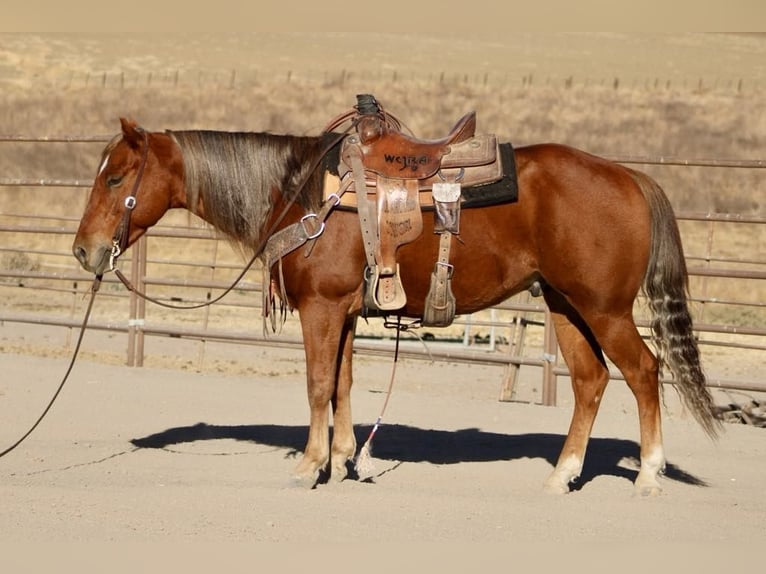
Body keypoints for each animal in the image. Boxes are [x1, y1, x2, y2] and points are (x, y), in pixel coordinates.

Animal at [72, 112, 720, 496]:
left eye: (114, 178)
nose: (84, 251)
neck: (302, 193)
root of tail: (632, 177)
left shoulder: (321, 310)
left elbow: (317, 385)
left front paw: (308, 466)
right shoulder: (343, 313)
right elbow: (341, 387)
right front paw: (341, 461)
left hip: (604, 308)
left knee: (643, 371)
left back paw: (649, 476)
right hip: (565, 305)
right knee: (590, 380)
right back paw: (562, 475)